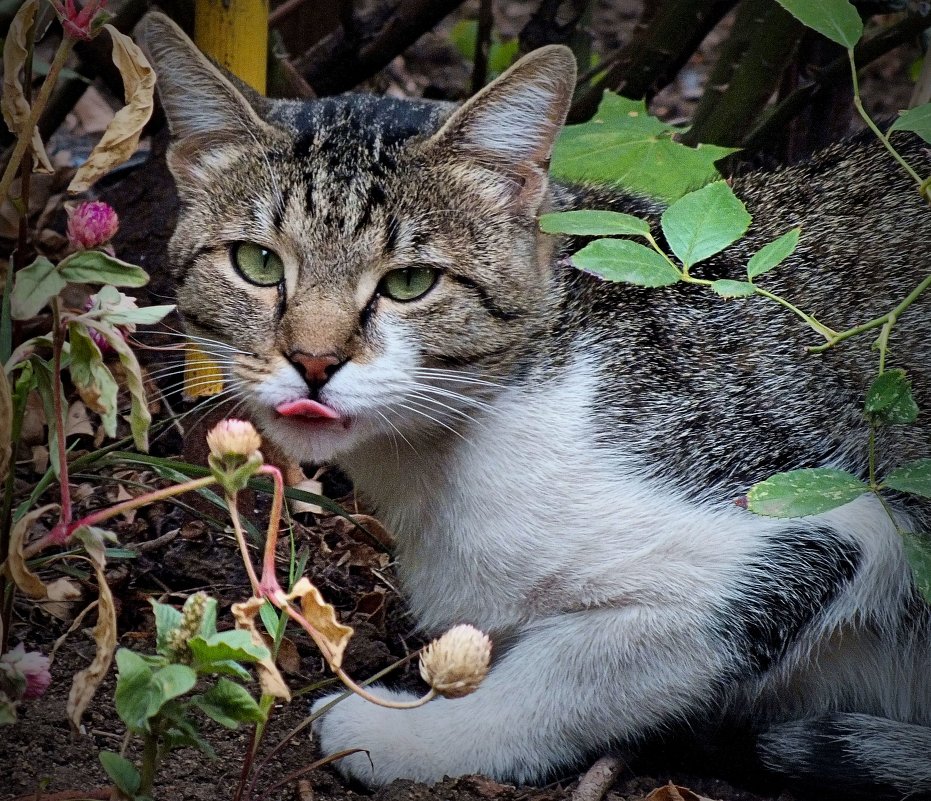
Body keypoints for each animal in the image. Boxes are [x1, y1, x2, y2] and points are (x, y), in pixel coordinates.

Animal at [138, 10, 931, 792]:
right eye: (257, 263)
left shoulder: (823, 519)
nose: (312, 360)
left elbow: (570, 673)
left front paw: (402, 734)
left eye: (409, 283)